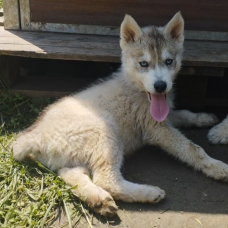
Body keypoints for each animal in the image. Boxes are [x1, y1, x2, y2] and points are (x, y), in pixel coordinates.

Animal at [11, 13, 228, 216]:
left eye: (169, 61)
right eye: (143, 64)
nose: (160, 86)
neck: (135, 87)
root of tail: (33, 136)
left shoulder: (161, 117)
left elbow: (183, 114)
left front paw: (204, 118)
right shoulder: (155, 128)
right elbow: (192, 148)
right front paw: (216, 166)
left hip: (73, 158)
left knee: (72, 175)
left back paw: (98, 200)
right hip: (105, 131)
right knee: (106, 180)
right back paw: (148, 192)